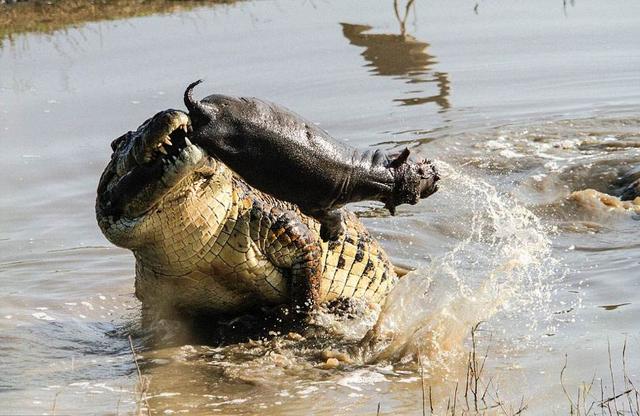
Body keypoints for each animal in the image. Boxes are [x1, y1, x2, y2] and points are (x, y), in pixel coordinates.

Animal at [182, 80, 438, 240]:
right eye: (420, 173)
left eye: (420, 165)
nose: (436, 172)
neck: (377, 174)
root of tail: (205, 108)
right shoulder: (319, 205)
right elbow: (335, 216)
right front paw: (335, 236)